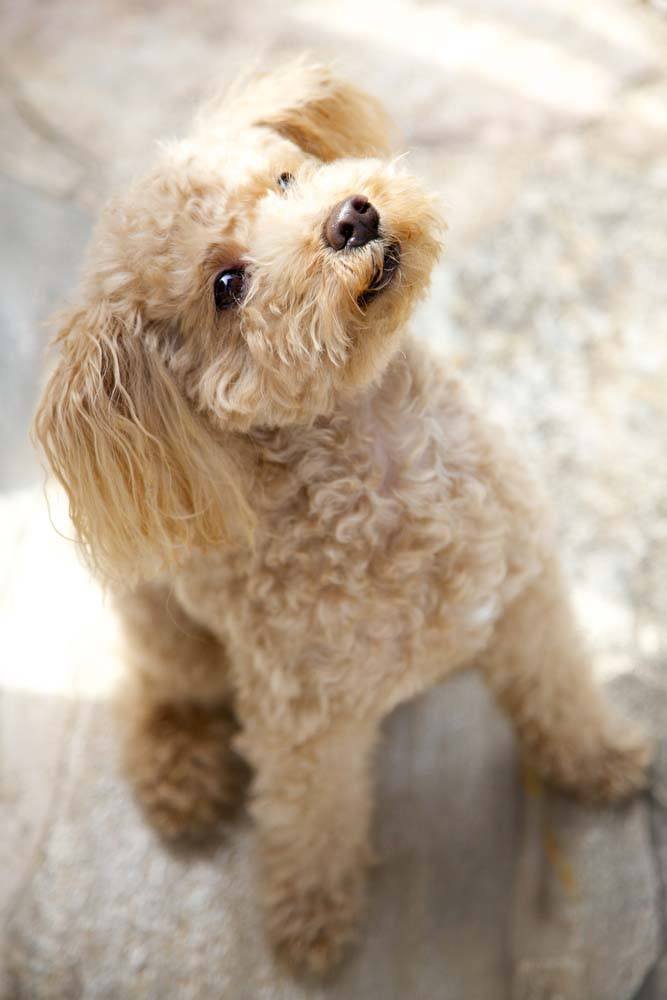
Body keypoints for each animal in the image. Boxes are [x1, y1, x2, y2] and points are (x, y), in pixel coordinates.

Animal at [32, 58, 652, 972]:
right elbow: (310, 823)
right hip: (170, 631)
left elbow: (559, 693)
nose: (351, 217)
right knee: (156, 694)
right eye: (226, 286)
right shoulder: (305, 725)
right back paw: (180, 778)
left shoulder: (523, 600)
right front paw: (311, 928)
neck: (379, 469)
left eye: (285, 179)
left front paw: (602, 761)